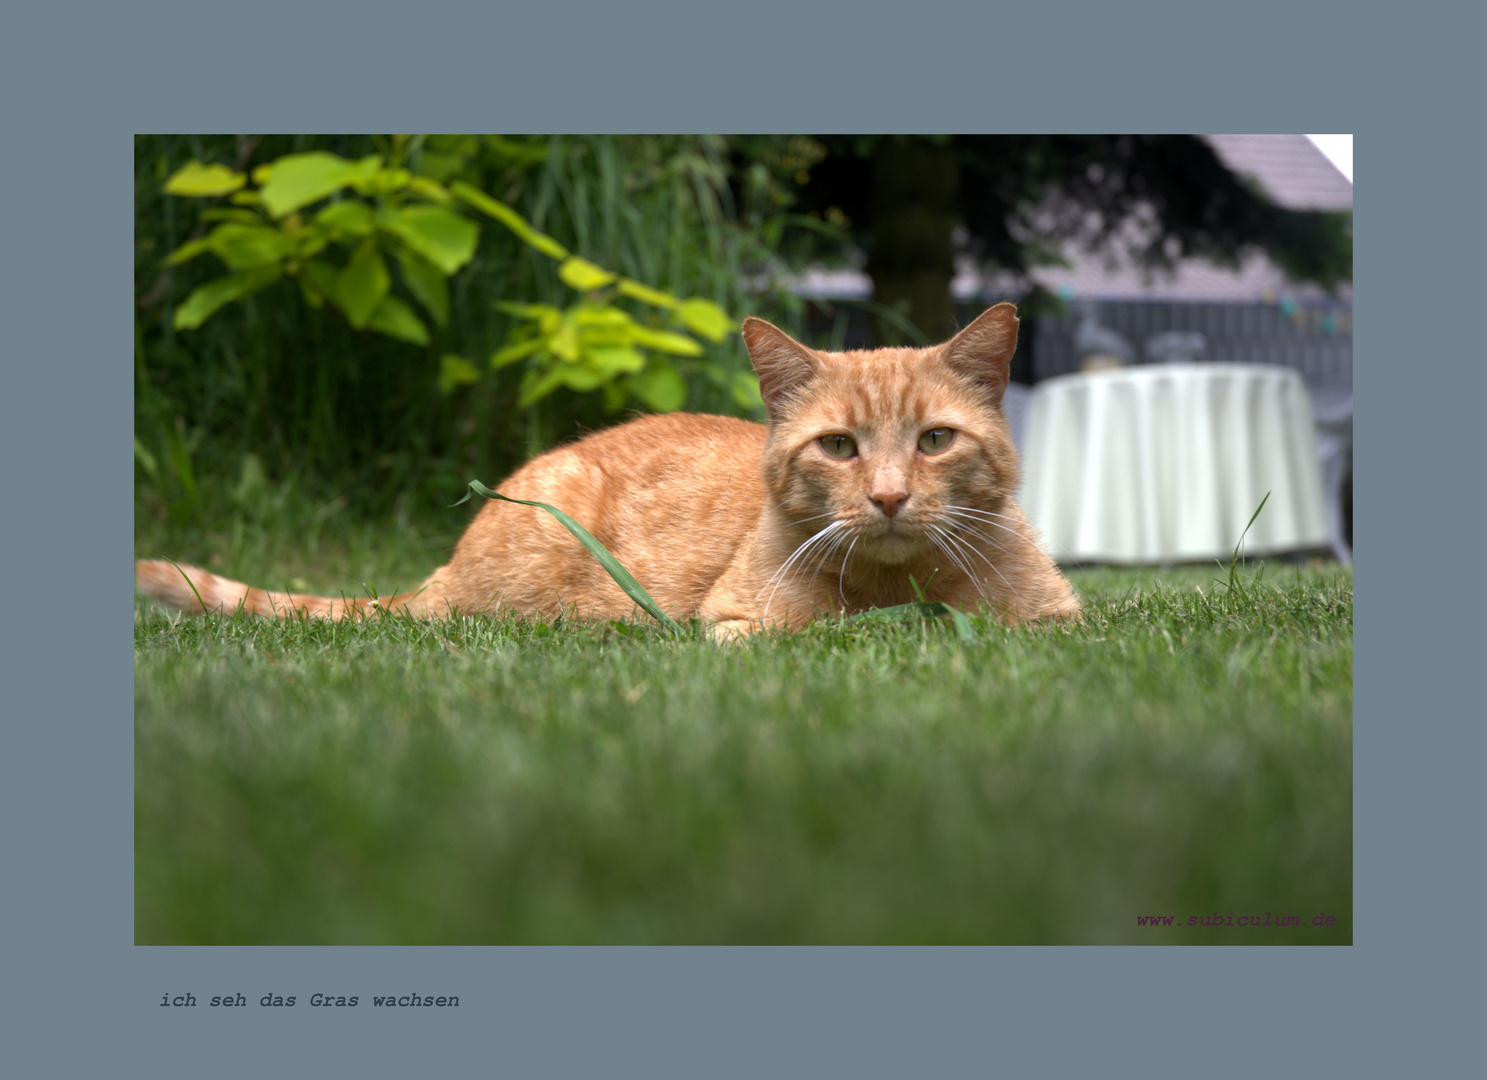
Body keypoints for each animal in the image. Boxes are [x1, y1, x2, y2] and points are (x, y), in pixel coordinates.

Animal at [136, 304, 1082, 633]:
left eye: (934, 441)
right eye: (840, 447)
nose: (887, 497)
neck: (899, 588)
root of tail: (442, 571)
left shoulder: (1061, 626)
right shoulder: (739, 626)